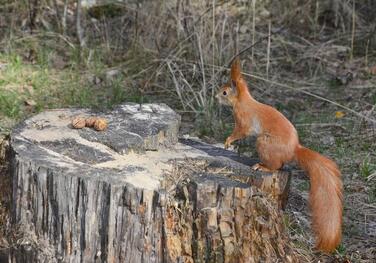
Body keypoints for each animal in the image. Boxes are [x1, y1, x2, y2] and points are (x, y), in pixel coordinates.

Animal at [217, 58, 344, 254]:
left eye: (225, 92)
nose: (216, 97)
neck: (243, 101)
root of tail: (294, 150)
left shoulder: (243, 120)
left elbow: (240, 132)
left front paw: (228, 141)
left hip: (264, 143)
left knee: (275, 165)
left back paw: (262, 166)